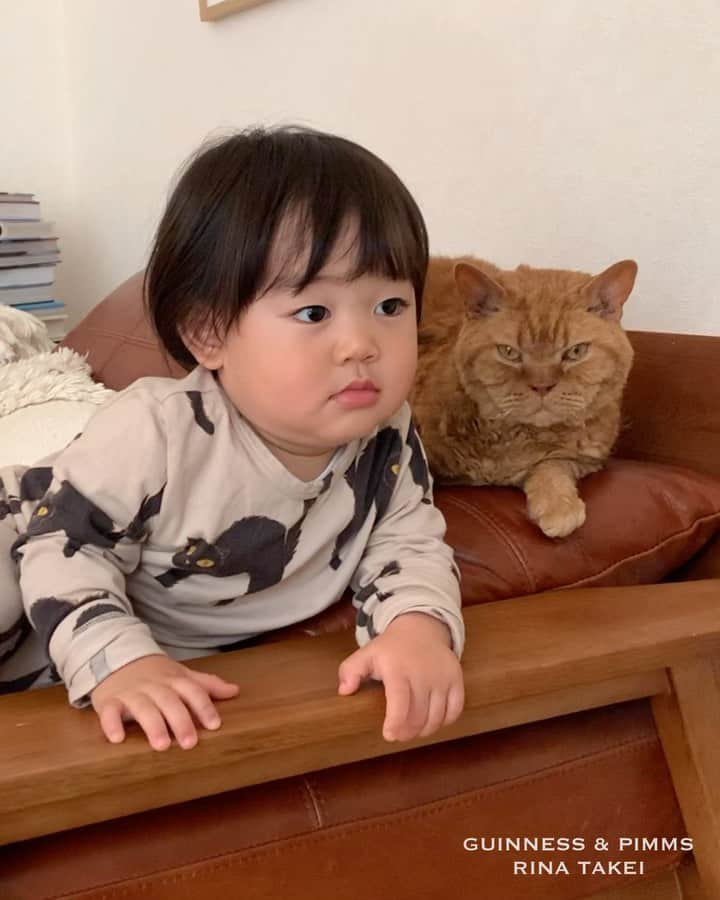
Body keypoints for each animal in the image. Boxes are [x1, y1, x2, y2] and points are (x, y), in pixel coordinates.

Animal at [410, 256, 636, 536]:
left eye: (576, 352)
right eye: (509, 352)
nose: (542, 386)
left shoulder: (585, 457)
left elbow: (553, 464)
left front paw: (557, 504)